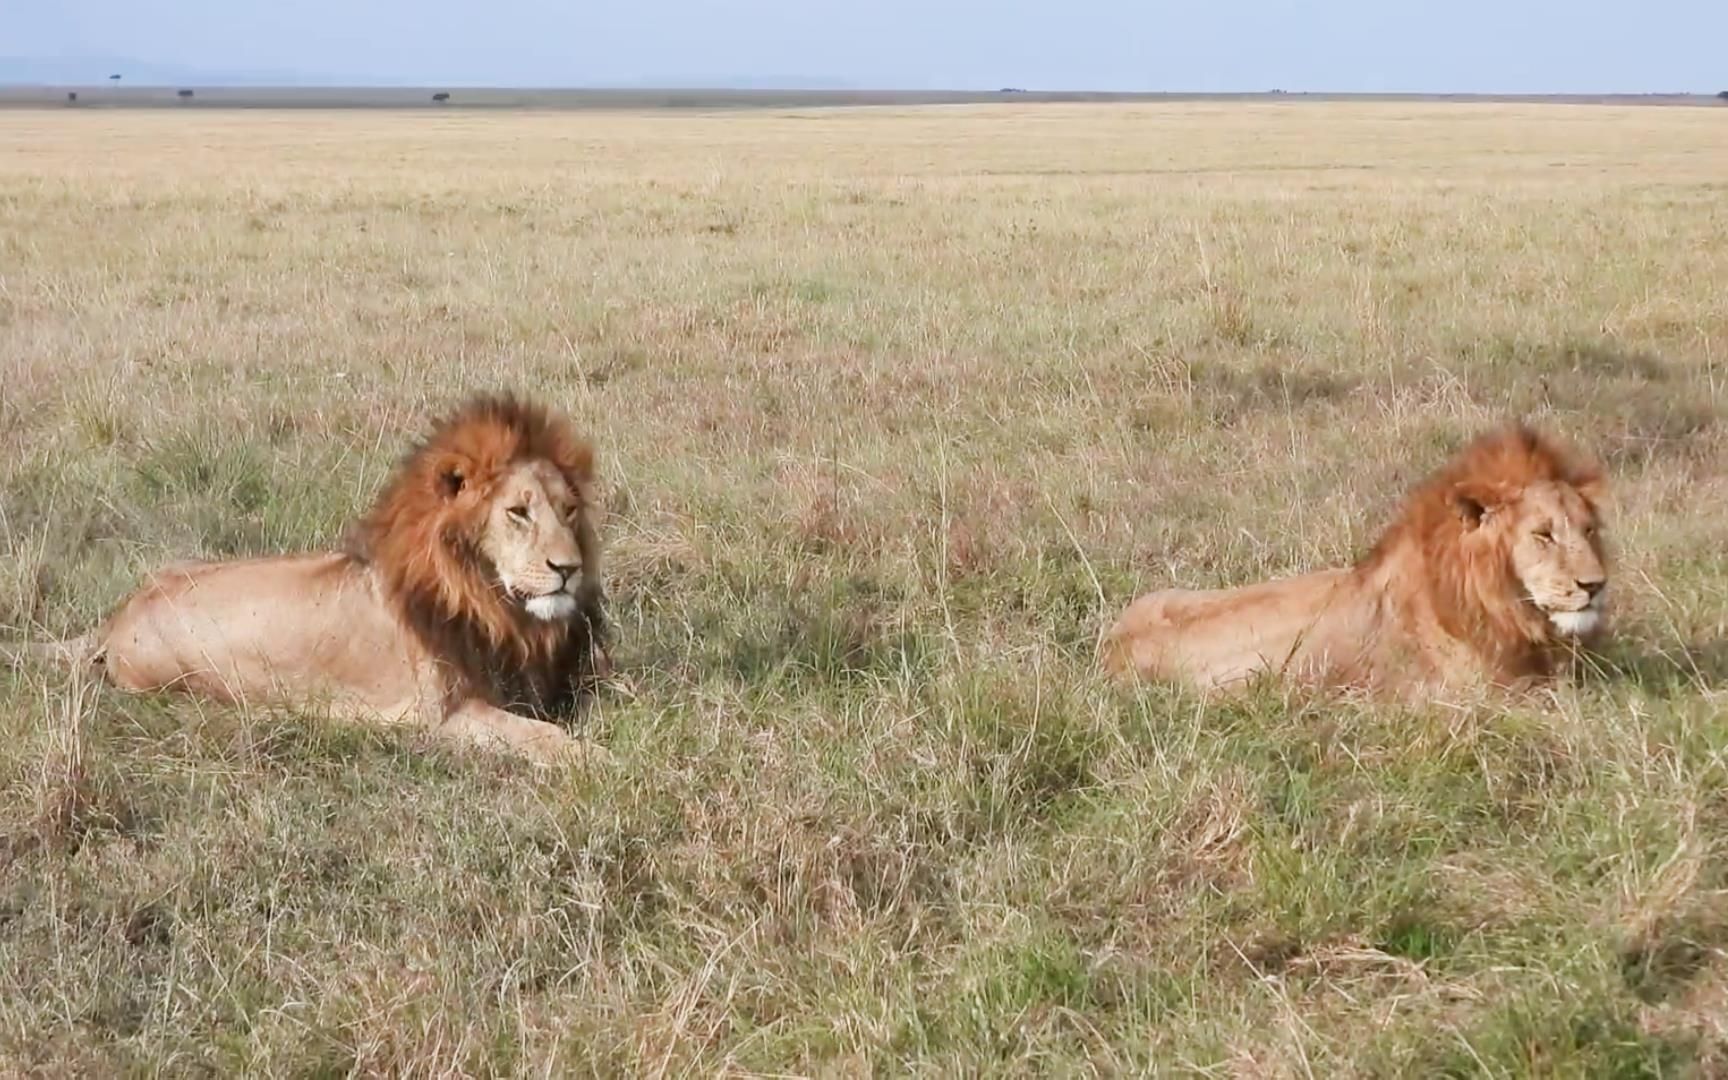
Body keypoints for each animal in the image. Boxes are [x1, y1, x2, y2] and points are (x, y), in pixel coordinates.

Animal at [25, 393, 615, 756]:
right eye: (518, 512)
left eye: (568, 511)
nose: (569, 568)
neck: (493, 605)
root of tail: (117, 617)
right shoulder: (445, 714)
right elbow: (543, 738)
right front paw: (598, 759)